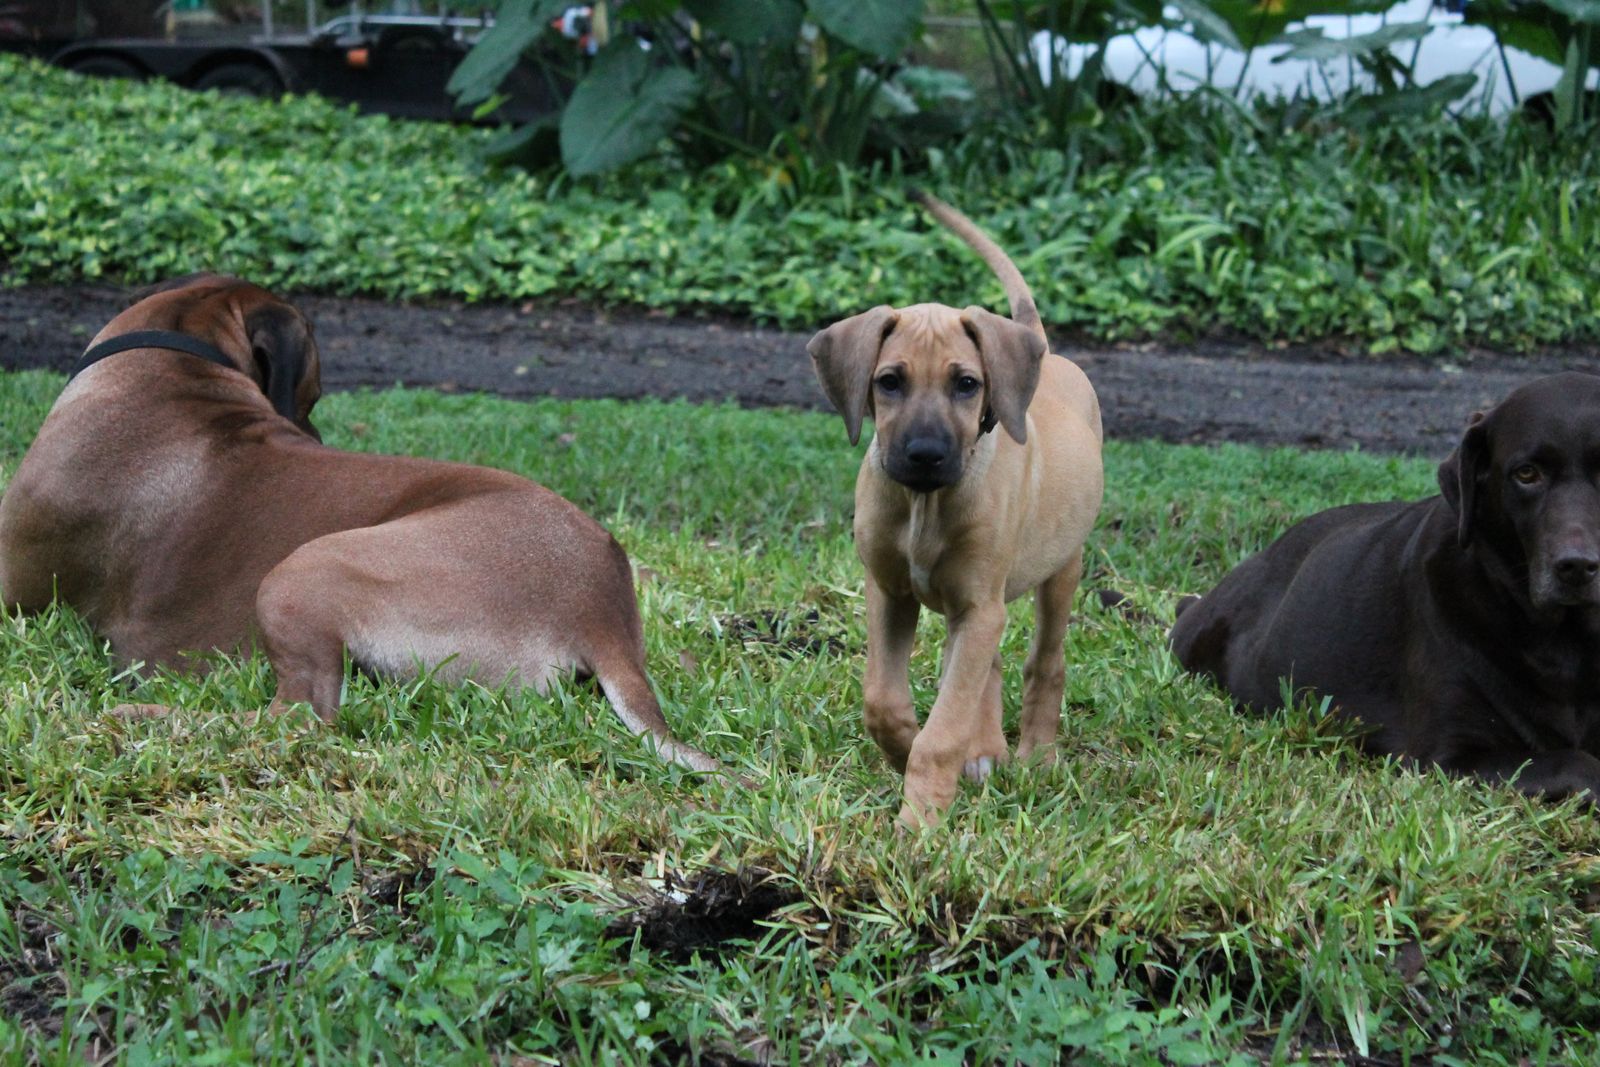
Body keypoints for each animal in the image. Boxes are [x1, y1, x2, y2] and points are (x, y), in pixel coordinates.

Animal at [0, 274, 718, 772]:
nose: (313, 435)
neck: (172, 366)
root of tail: (601, 610)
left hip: (303, 570)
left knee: (301, 716)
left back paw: (139, 716)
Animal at [808, 193, 1104, 825]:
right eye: (888, 382)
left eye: (967, 384)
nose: (924, 454)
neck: (925, 504)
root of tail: (1042, 350)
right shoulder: (891, 593)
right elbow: (885, 701)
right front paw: (902, 751)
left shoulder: (979, 605)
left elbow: (944, 729)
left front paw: (918, 822)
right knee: (983, 667)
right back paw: (986, 749)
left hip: (1060, 569)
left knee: (1045, 662)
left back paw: (1035, 757)